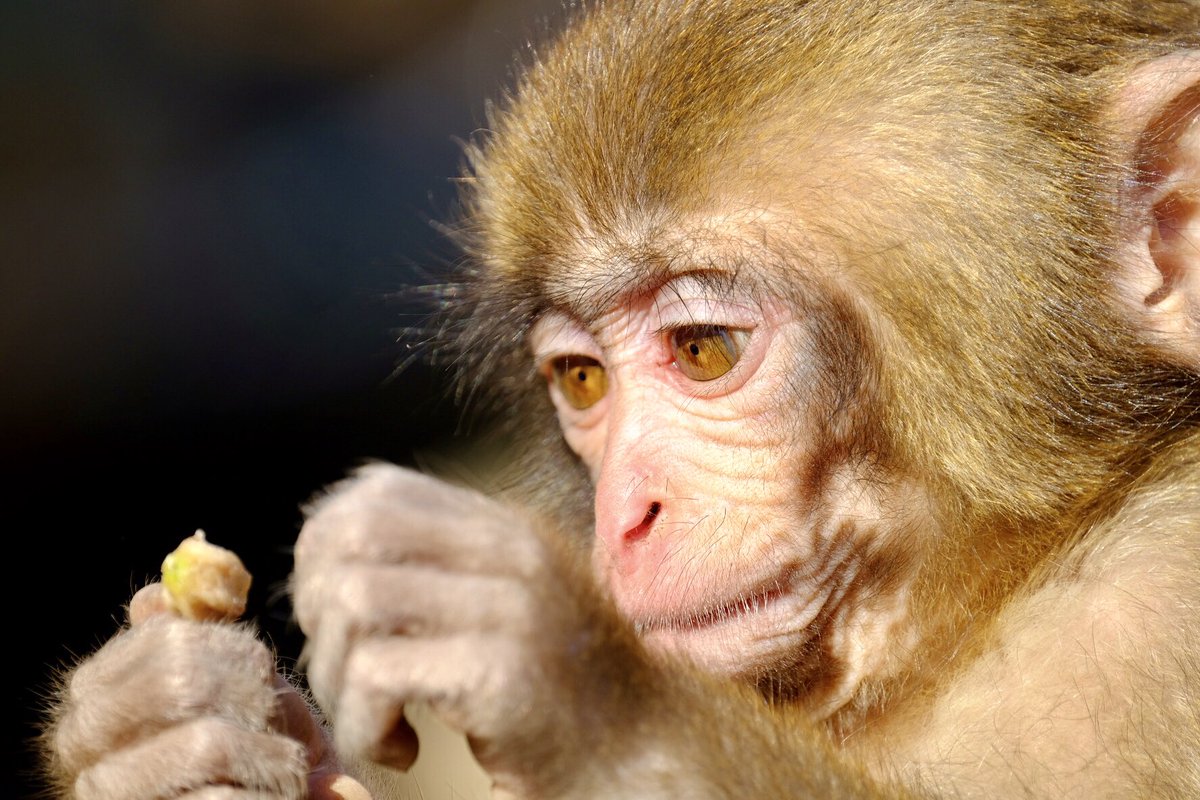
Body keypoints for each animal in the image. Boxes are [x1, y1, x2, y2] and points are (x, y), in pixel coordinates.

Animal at [42, 0, 1200, 797]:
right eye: (584, 379)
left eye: (703, 349)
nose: (623, 514)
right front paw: (153, 736)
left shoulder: (1157, 599)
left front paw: (575, 676)